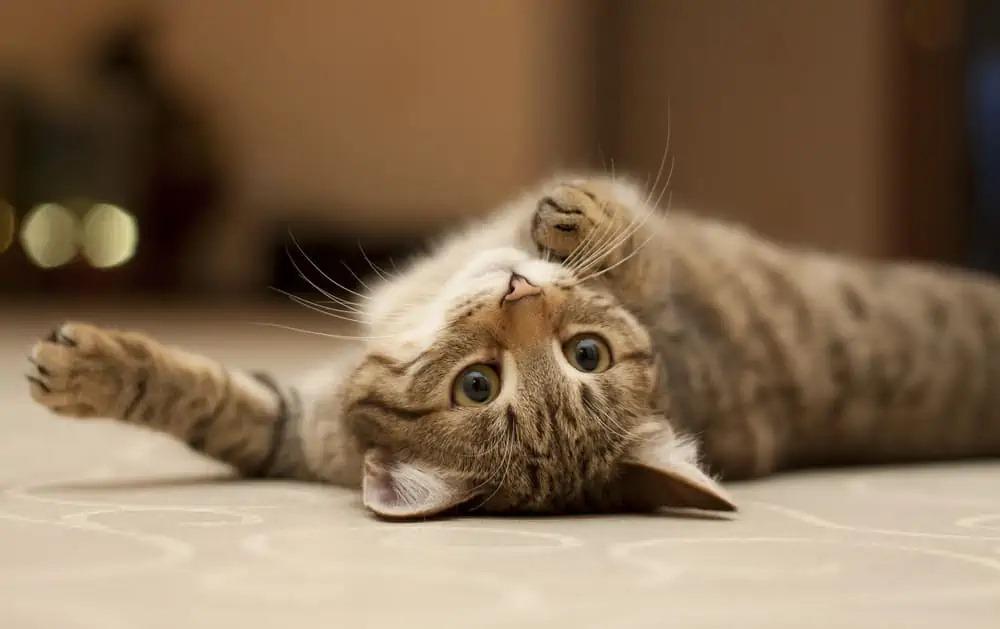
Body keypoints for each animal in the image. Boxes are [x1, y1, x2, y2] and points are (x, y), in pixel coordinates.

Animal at [25, 175, 1000, 516]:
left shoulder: (666, 287)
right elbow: (209, 396)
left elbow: (630, 240)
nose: (519, 291)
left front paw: (578, 213)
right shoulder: (291, 425)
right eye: (478, 386)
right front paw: (85, 369)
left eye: (585, 357)